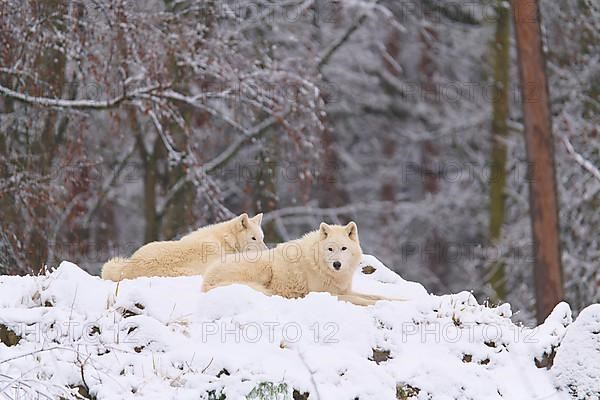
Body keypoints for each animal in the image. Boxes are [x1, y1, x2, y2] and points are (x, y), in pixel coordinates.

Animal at [203, 222, 398, 306]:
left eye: (343, 248)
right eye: (330, 249)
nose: (337, 264)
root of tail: (206, 280)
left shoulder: (345, 290)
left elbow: (378, 296)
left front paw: (398, 301)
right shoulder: (327, 294)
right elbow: (363, 300)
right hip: (264, 269)